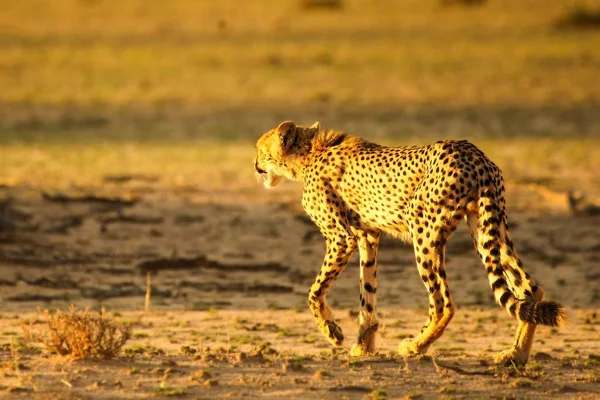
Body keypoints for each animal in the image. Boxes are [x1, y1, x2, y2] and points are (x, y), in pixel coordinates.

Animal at [254, 119, 568, 366]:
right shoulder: (367, 236)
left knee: (443, 303)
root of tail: (474, 154)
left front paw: (333, 332)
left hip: (423, 231)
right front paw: (363, 345)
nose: (255, 166)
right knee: (530, 289)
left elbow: (314, 292)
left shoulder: (341, 238)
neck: (310, 153)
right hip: (488, 230)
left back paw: (415, 346)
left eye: (259, 151)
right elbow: (367, 292)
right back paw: (515, 356)